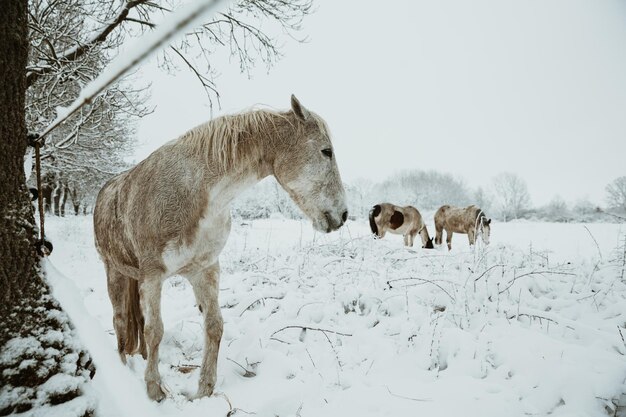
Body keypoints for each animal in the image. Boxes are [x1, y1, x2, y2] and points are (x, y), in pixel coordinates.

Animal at [92, 94, 346, 400]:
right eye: (326, 151)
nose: (343, 215)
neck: (192, 192)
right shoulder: (153, 276)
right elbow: (155, 331)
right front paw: (154, 390)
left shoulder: (205, 269)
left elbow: (214, 326)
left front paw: (204, 390)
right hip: (113, 271)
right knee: (119, 320)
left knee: (136, 321)